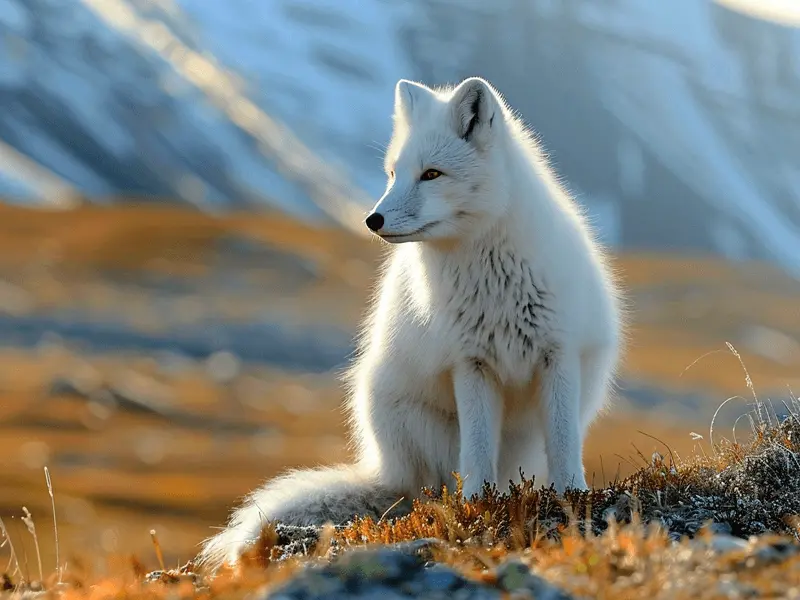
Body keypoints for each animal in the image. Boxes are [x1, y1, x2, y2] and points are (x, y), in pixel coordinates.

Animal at [198, 76, 624, 571]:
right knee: (432, 490)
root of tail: (387, 468)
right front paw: (479, 507)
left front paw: (572, 497)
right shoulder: (470, 363)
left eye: (432, 174)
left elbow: (564, 444)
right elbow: (478, 453)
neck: (493, 274)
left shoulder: (558, 354)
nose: (371, 219)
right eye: (392, 174)